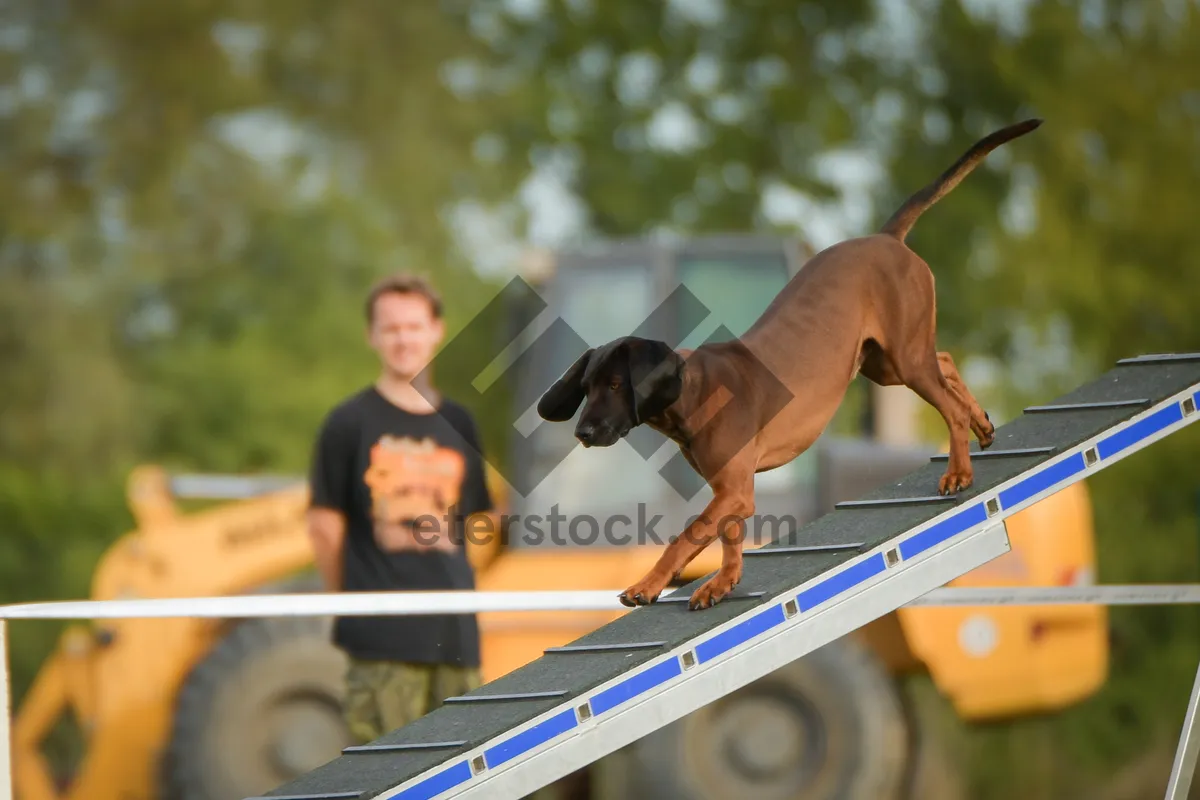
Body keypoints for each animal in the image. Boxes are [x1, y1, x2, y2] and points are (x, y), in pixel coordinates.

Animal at [537, 118, 1041, 609]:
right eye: (587, 387)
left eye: (616, 385)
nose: (582, 432)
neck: (694, 394)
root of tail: (883, 238)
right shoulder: (733, 492)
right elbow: (729, 537)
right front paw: (724, 583)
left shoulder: (732, 489)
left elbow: (687, 536)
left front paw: (648, 584)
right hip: (883, 364)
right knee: (946, 361)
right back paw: (982, 425)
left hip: (903, 359)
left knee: (946, 402)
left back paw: (958, 471)